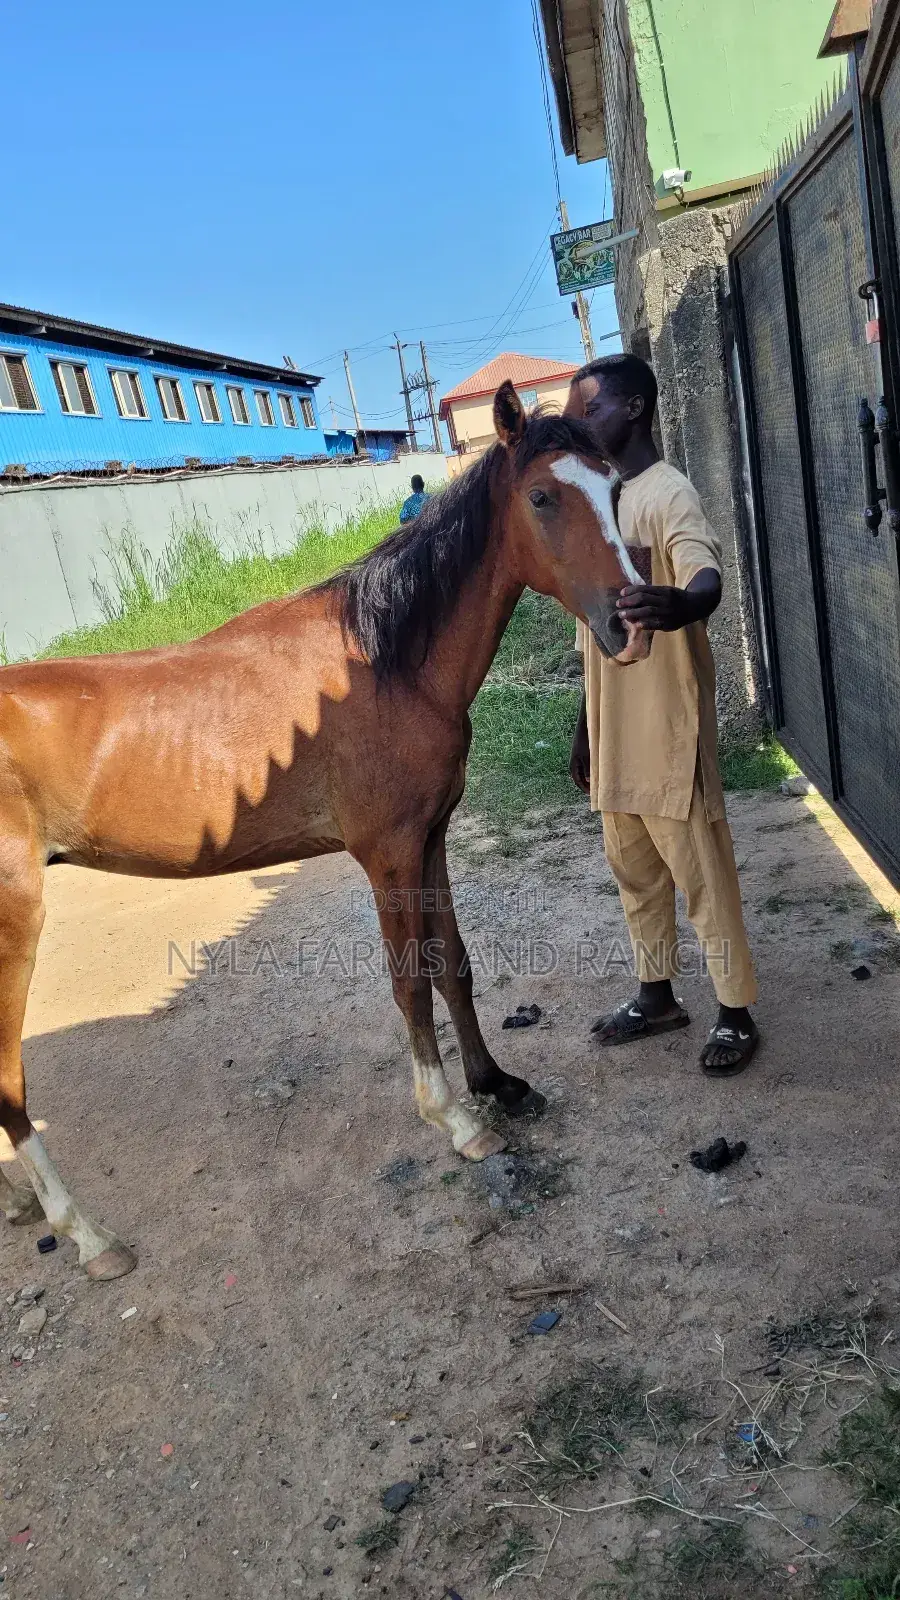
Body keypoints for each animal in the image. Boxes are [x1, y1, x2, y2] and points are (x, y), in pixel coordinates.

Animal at [0, 381, 648, 1281]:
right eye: (543, 497)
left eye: (614, 488)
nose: (631, 623)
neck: (382, 662)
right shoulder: (387, 855)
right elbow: (409, 981)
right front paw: (455, 1119)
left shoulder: (430, 839)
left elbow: (453, 965)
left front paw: (495, 1082)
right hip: (15, 923)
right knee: (8, 1081)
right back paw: (89, 1235)